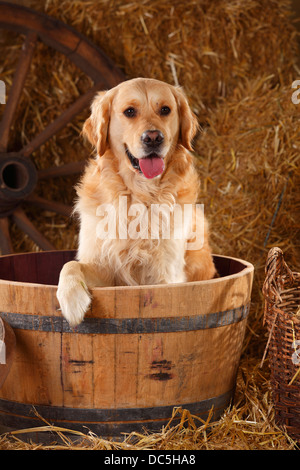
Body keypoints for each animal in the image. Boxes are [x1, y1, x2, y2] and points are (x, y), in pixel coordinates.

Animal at [56, 78, 216, 326]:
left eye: (165, 110)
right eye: (129, 111)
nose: (153, 138)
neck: (140, 194)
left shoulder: (166, 275)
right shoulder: (103, 268)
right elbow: (70, 265)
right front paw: (71, 298)